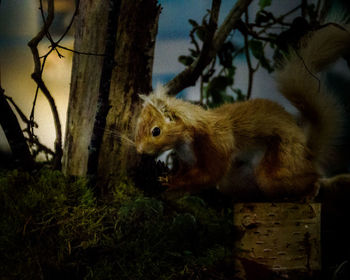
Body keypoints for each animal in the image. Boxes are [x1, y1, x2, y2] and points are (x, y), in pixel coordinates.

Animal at [134, 23, 350, 199]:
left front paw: (171, 182)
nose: (140, 150)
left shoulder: (216, 144)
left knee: (311, 177)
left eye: (156, 131)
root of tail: (307, 152)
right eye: (137, 127)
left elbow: (209, 175)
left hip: (276, 169)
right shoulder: (187, 159)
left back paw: (314, 190)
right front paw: (172, 177)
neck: (184, 142)